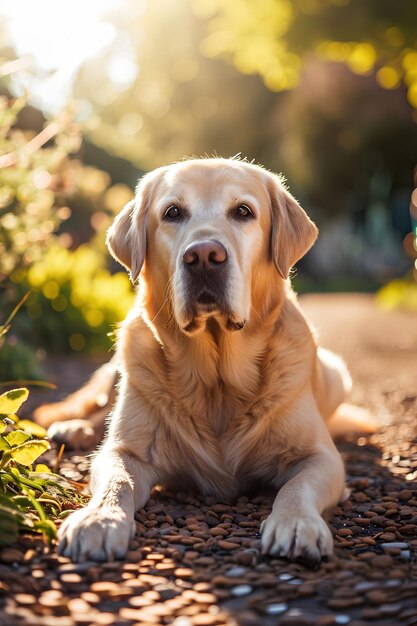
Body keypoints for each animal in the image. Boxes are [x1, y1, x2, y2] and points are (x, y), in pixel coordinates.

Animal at [37, 156, 354, 560]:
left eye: (243, 211)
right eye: (172, 212)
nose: (204, 256)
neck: (216, 377)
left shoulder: (320, 457)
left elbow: (295, 487)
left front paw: (297, 523)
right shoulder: (125, 451)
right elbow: (117, 481)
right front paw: (100, 519)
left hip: (337, 375)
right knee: (99, 410)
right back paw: (75, 428)